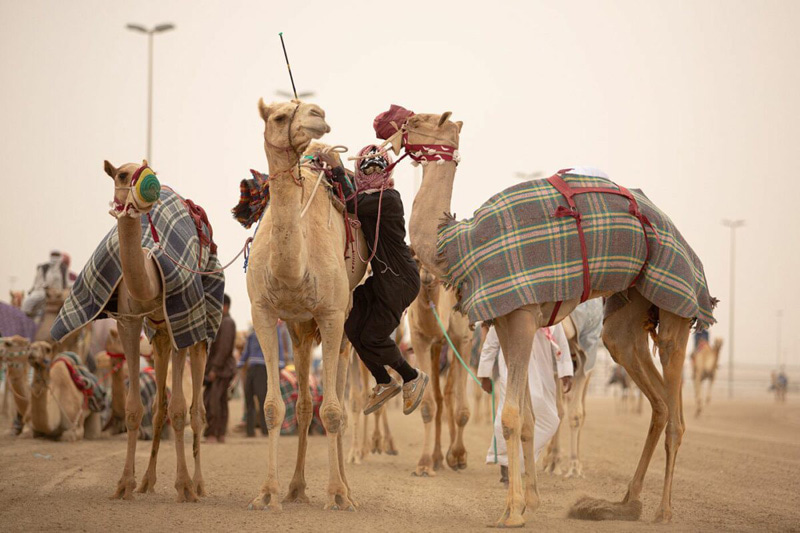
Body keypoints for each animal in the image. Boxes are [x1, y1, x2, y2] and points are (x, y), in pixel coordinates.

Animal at [246, 99, 367, 512]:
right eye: (279, 116)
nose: (317, 114)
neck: (292, 270)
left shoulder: (330, 315)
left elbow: (331, 410)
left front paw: (337, 495)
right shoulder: (264, 313)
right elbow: (273, 407)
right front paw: (267, 493)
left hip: (345, 325)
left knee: (341, 403)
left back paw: (347, 488)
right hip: (298, 330)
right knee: (301, 405)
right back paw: (296, 488)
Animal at [407, 264, 471, 476]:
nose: (427, 273)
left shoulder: (463, 338)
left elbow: (462, 411)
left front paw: (458, 456)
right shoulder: (420, 338)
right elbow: (428, 406)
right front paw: (424, 464)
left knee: (449, 392)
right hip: (437, 348)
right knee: (439, 396)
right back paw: (437, 458)